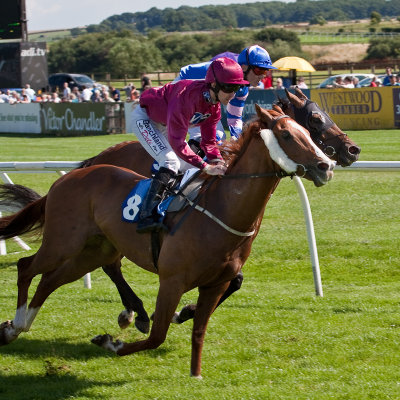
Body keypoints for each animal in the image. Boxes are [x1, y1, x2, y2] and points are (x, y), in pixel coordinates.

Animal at [0, 105, 336, 378]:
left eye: (309, 133)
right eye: (288, 135)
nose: (327, 166)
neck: (221, 209)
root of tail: (67, 177)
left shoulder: (216, 283)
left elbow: (199, 330)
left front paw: (195, 374)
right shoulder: (172, 281)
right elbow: (157, 336)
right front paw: (111, 342)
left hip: (91, 251)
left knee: (51, 280)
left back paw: (19, 327)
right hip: (62, 244)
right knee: (26, 267)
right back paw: (18, 323)